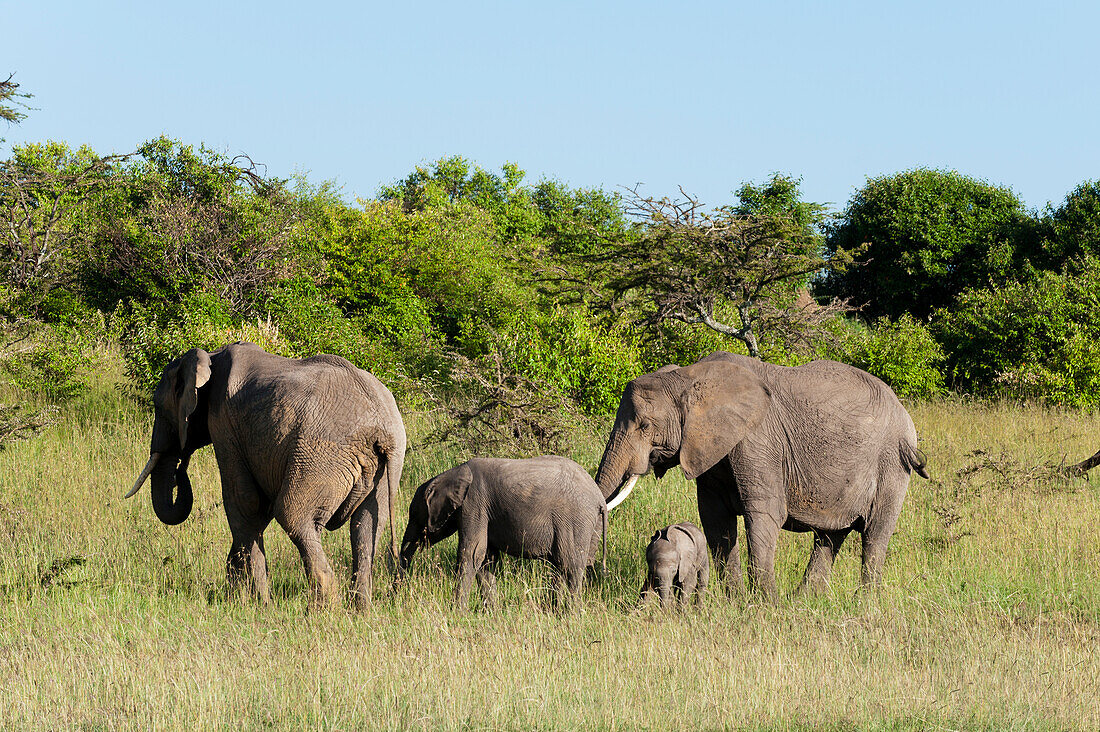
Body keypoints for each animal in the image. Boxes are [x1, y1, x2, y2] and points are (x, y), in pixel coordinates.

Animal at [124, 343, 407, 612]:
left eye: (158, 407)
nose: (180, 468)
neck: (211, 356)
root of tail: (382, 427)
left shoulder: (224, 426)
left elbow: (244, 502)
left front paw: (257, 604)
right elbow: (259, 509)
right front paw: (238, 597)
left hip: (322, 455)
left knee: (292, 514)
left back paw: (318, 612)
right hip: (380, 468)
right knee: (366, 526)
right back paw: (360, 612)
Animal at [400, 453, 611, 607]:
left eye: (414, 515)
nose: (396, 595)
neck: (454, 474)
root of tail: (599, 499)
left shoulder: (474, 504)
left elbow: (471, 554)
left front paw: (456, 611)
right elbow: (486, 559)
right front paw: (490, 612)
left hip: (576, 521)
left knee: (570, 567)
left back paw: (570, 614)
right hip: (590, 525)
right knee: (565, 566)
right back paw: (554, 612)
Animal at [594, 352, 928, 598]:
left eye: (645, 426)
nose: (600, 572)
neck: (690, 376)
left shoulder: (758, 440)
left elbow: (764, 514)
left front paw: (765, 605)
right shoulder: (710, 449)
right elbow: (716, 521)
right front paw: (737, 601)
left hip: (892, 465)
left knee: (874, 536)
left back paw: (863, 603)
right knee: (830, 536)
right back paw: (805, 600)